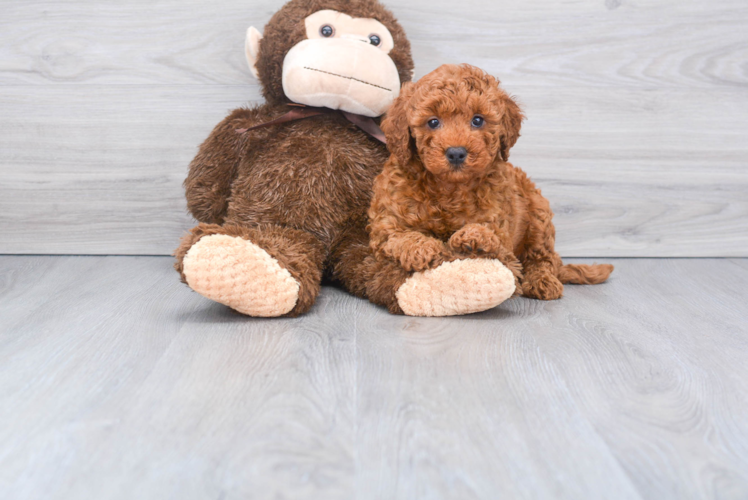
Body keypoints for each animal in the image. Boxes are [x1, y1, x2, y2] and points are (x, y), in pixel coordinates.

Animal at [368, 65, 612, 300]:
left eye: (478, 120)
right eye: (433, 122)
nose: (456, 153)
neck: (449, 187)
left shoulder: (499, 220)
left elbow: (493, 237)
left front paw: (475, 237)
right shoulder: (386, 224)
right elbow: (398, 237)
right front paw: (423, 248)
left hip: (538, 213)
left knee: (542, 258)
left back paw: (543, 281)